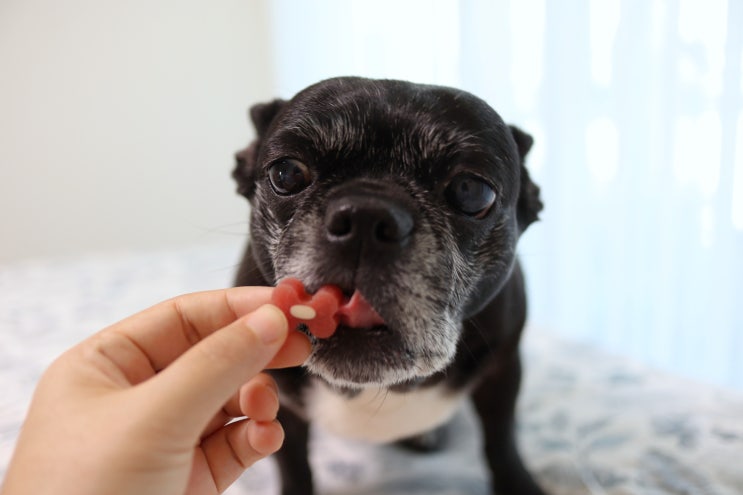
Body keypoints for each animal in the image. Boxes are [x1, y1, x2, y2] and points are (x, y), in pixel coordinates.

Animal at [232, 77, 548, 495]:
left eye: (472, 191)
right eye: (286, 174)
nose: (366, 215)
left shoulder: (503, 370)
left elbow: (501, 439)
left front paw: (519, 485)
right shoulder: (279, 401)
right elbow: (293, 464)